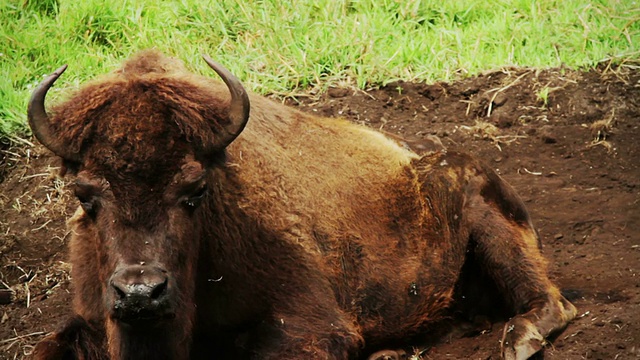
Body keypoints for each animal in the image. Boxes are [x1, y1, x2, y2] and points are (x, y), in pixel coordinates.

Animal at [28, 51, 576, 360]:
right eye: (85, 195)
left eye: (195, 190)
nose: (140, 293)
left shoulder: (311, 324)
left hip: (484, 207)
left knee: (548, 298)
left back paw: (520, 339)